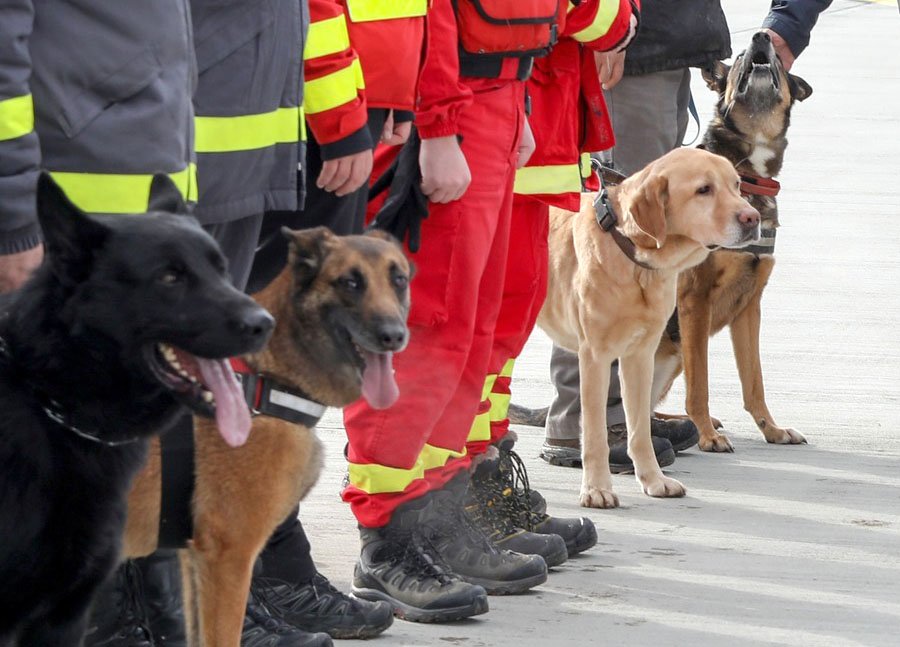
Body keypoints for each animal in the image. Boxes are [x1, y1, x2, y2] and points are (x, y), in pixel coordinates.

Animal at [122, 228, 412, 647]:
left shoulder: (195, 560)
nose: (393, 336)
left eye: (399, 280)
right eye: (350, 282)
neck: (266, 378)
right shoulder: (228, 556)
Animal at [536, 149, 764, 508]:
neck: (631, 254)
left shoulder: (640, 356)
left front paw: (653, 480)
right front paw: (597, 489)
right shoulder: (595, 357)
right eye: (703, 190)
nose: (753, 218)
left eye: (737, 185)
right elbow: (595, 434)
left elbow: (640, 428)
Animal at [652, 30, 812, 454]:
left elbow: (754, 381)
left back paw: (674, 424)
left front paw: (772, 429)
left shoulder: (750, 305)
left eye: (779, 59)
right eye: (739, 55)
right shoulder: (695, 300)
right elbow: (701, 384)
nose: (760, 36)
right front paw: (707, 435)